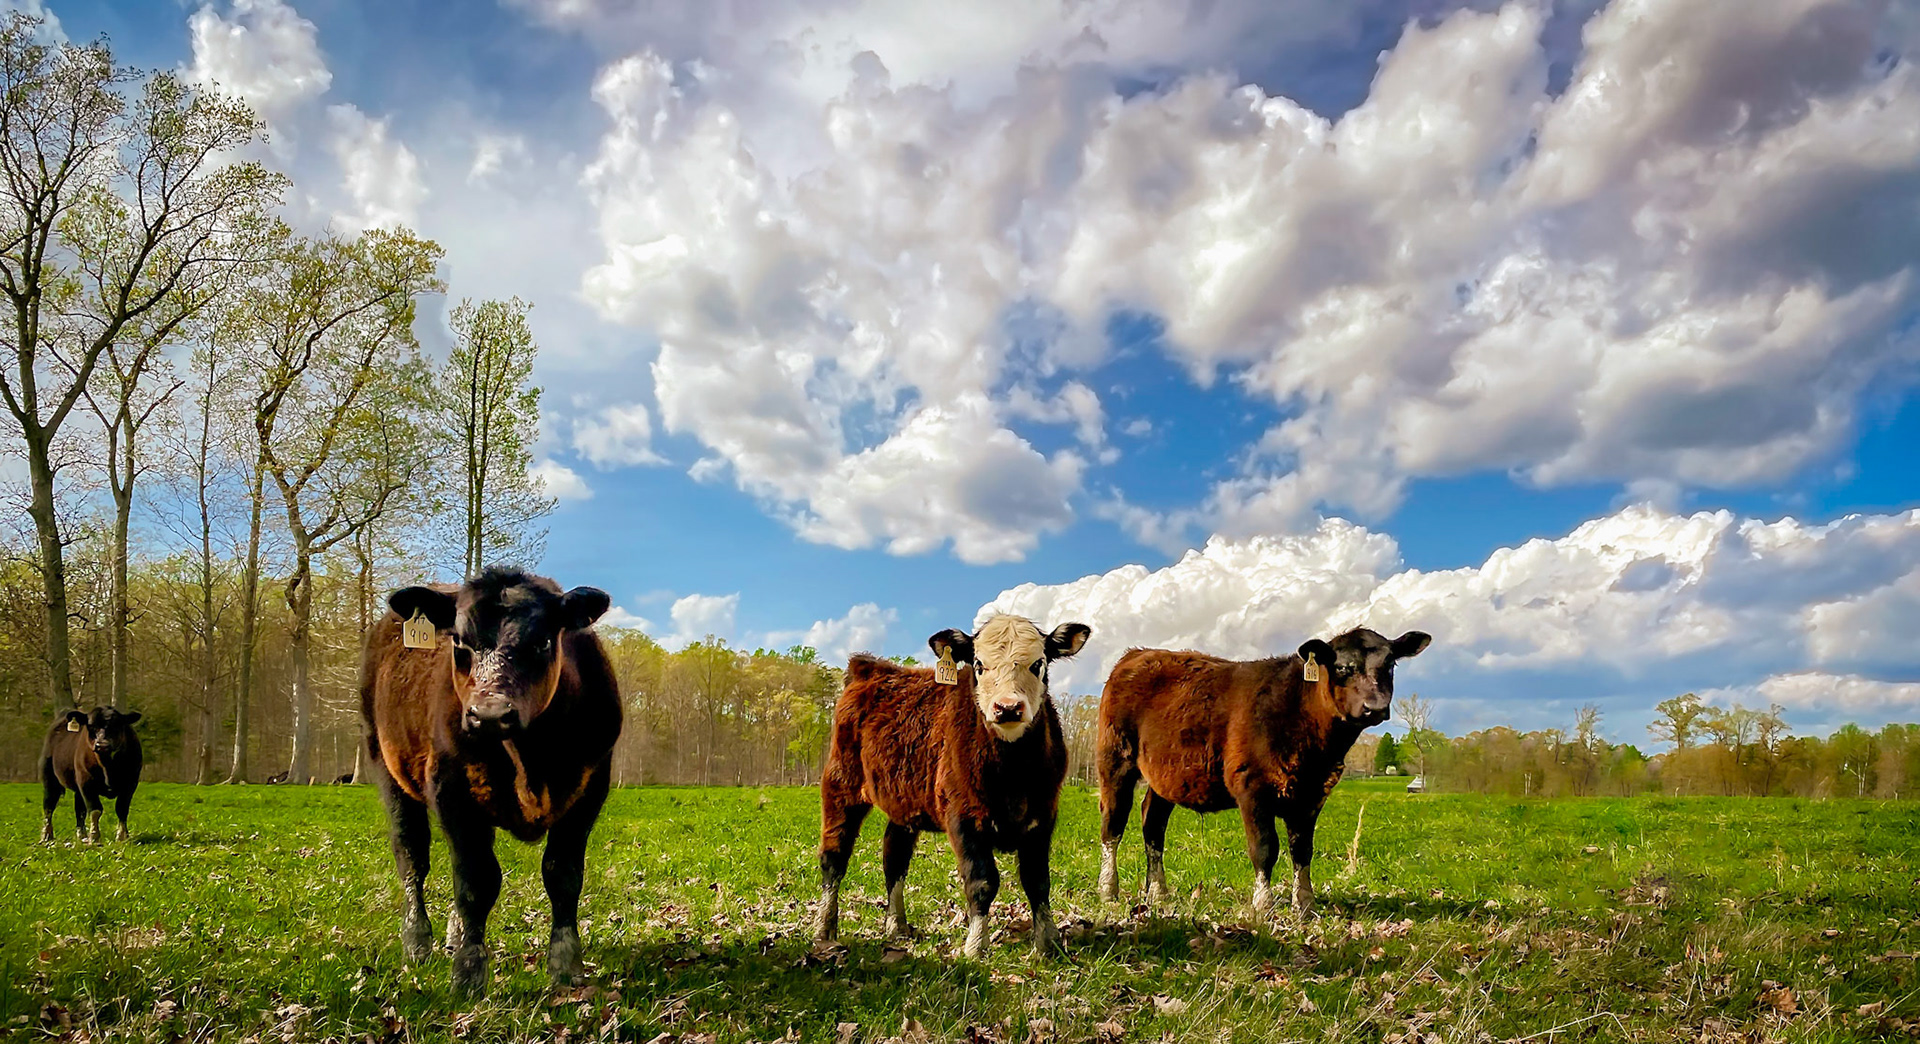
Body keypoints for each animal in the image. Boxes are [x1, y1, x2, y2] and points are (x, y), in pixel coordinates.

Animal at [40, 706, 143, 844]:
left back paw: (81, 836)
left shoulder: (131, 782)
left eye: (117, 724)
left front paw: (122, 836)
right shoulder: (86, 781)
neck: (108, 767)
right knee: (48, 806)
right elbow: (95, 809)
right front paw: (94, 837)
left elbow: (121, 808)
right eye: (91, 726)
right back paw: (46, 836)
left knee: (79, 809)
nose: (102, 745)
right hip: (49, 778)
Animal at [360, 567, 618, 997]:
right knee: (411, 856)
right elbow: (475, 882)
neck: (532, 762)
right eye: (459, 641)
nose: (490, 713)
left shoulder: (591, 787)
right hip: (386, 767)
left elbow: (563, 875)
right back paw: (417, 942)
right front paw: (468, 972)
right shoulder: (451, 789)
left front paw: (566, 967)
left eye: (544, 640)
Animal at [815, 614, 1091, 958]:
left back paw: (897, 927)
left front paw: (1046, 945)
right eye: (979, 664)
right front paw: (974, 948)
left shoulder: (1043, 815)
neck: (1012, 773)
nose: (1008, 707)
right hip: (841, 785)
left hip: (904, 805)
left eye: (1038, 663)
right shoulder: (964, 817)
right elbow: (982, 882)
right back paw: (825, 928)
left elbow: (1037, 880)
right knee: (834, 857)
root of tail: (871, 669)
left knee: (894, 856)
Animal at [1095, 628, 1430, 917]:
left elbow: (1302, 850)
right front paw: (1263, 905)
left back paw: (1158, 893)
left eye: (1389, 665)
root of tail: (1137, 654)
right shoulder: (1252, 786)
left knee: (1152, 823)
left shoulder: (1312, 794)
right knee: (1113, 825)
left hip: (1167, 777)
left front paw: (1305, 905)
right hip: (1115, 760)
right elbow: (1265, 848)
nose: (1376, 707)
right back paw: (1109, 890)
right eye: (1344, 667)